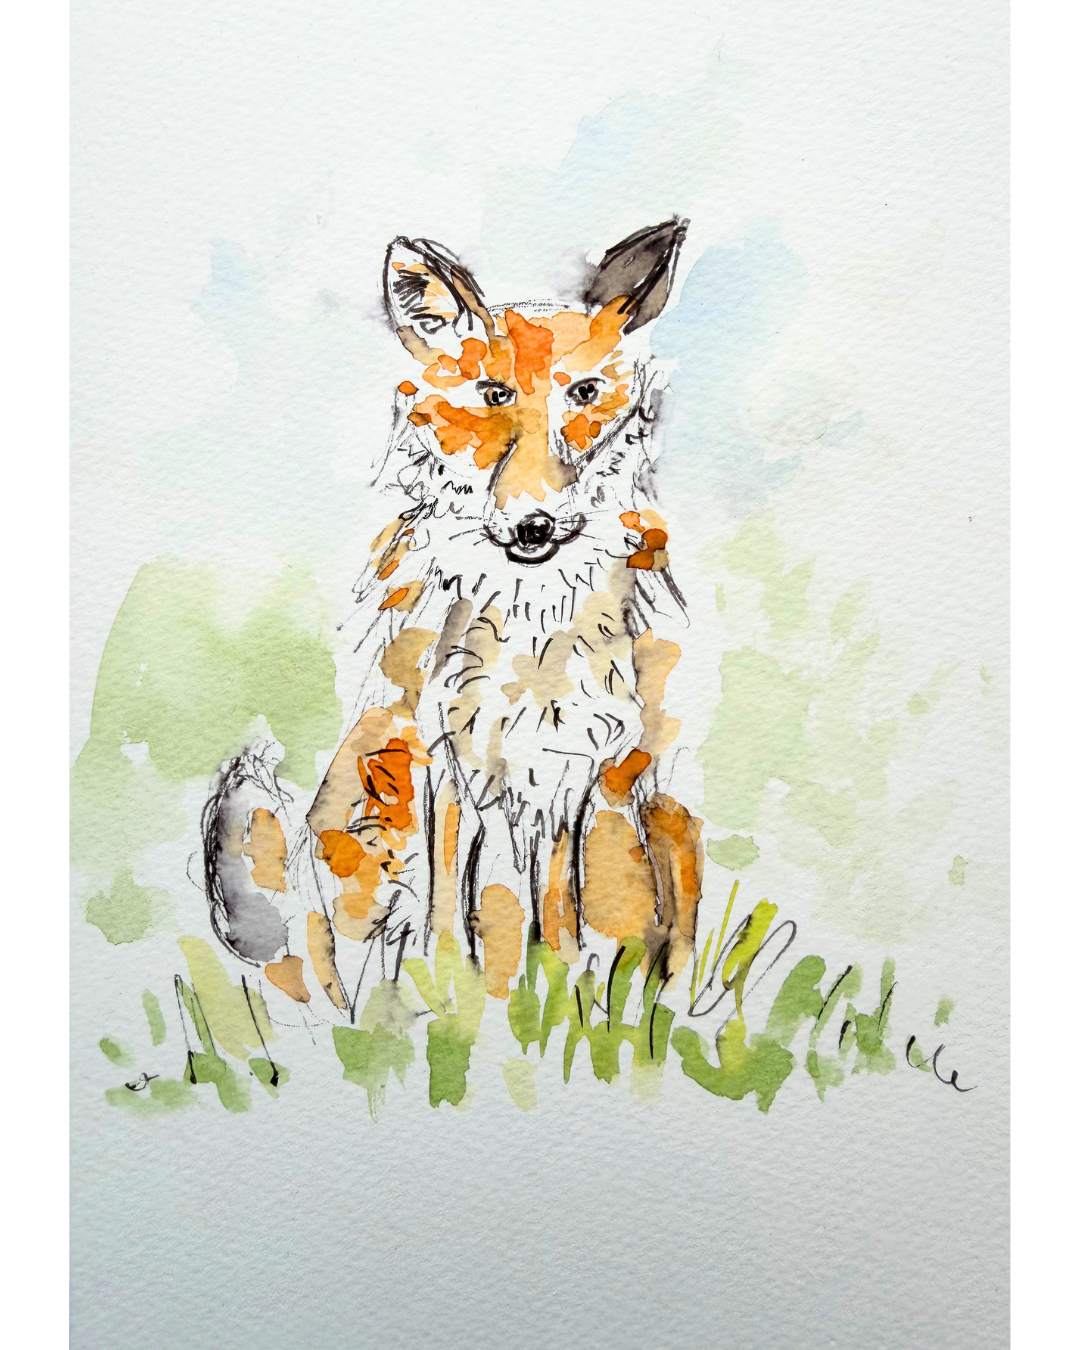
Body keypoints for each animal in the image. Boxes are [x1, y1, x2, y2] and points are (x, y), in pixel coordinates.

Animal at [201, 218, 705, 1023]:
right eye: (493, 393)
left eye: (585, 393)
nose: (533, 524)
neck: (529, 639)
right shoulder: (445, 760)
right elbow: (443, 923)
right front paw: (450, 1007)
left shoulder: (570, 769)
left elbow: (556, 924)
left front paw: (561, 1001)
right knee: (332, 976)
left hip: (667, 820)